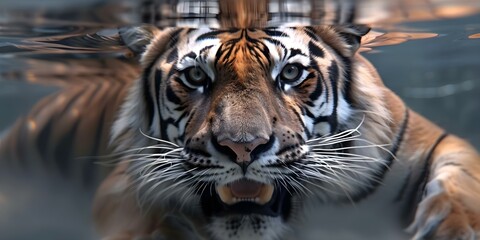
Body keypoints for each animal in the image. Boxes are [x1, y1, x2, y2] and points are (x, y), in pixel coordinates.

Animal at [91, 23, 480, 240]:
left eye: (291, 73)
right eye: (196, 76)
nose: (243, 147)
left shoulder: (422, 139)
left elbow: (463, 173)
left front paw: (454, 227)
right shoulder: (123, 182)